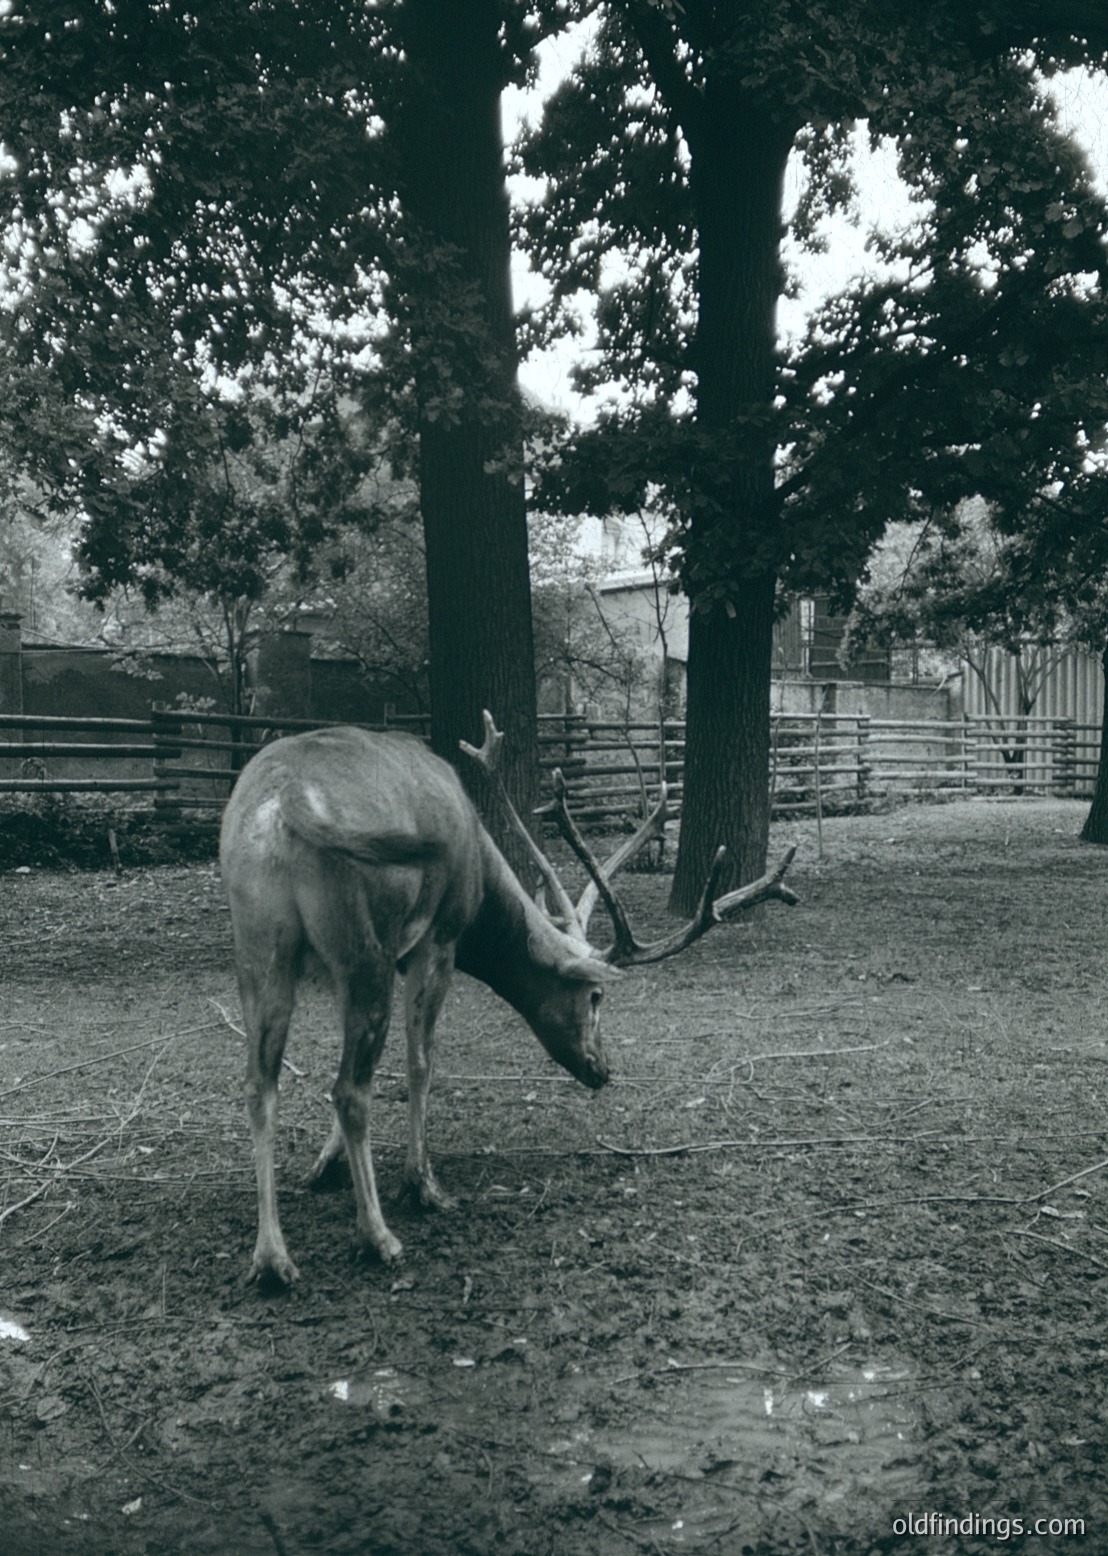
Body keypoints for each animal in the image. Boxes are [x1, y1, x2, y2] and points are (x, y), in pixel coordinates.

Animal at [219, 714, 797, 1284]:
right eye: (596, 996)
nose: (603, 1069)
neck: (481, 891)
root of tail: (282, 803)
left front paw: (324, 1165)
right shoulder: (439, 937)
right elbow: (420, 1062)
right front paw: (421, 1183)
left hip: (259, 943)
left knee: (259, 1084)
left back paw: (270, 1256)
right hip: (362, 943)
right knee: (348, 1089)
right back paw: (378, 1236)